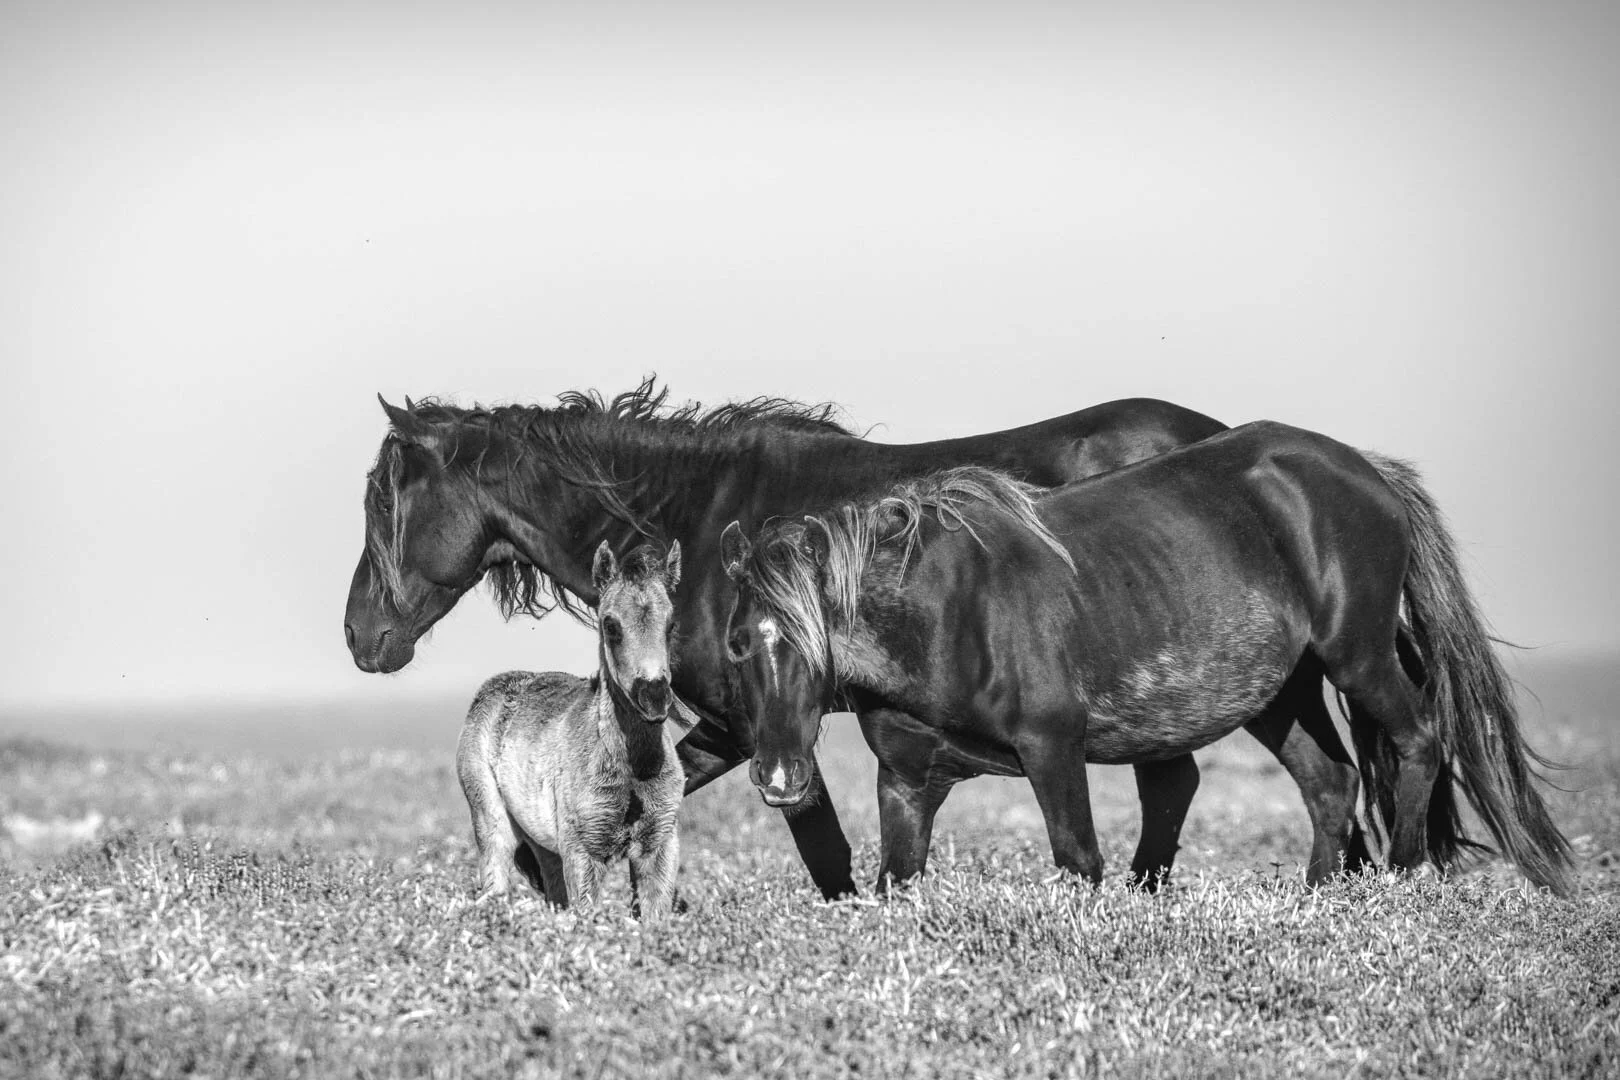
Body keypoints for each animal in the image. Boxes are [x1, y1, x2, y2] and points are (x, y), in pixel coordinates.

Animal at [457, 541, 688, 919]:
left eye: (671, 624)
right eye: (610, 625)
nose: (654, 697)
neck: (631, 767)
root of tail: (493, 688)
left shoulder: (659, 844)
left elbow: (655, 919)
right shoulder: (583, 852)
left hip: (546, 847)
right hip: (492, 822)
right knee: (496, 883)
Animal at [719, 424, 1575, 896]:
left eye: (810, 644)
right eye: (738, 646)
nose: (779, 777)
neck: (947, 609)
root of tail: (1366, 471)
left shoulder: (1052, 748)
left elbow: (1079, 861)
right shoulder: (906, 782)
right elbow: (896, 880)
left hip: (1356, 657)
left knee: (1419, 737)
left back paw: (1402, 877)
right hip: (1280, 695)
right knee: (1330, 783)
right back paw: (1321, 901)